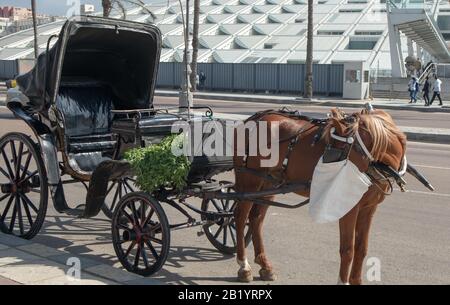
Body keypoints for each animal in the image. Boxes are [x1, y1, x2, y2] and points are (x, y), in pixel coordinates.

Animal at [234, 107, 406, 282]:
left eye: (334, 153)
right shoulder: (349, 208)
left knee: (256, 219)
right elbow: (348, 250)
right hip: (249, 182)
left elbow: (361, 248)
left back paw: (264, 264)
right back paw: (244, 265)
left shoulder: (369, 208)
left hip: (268, 183)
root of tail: (252, 119)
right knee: (240, 217)